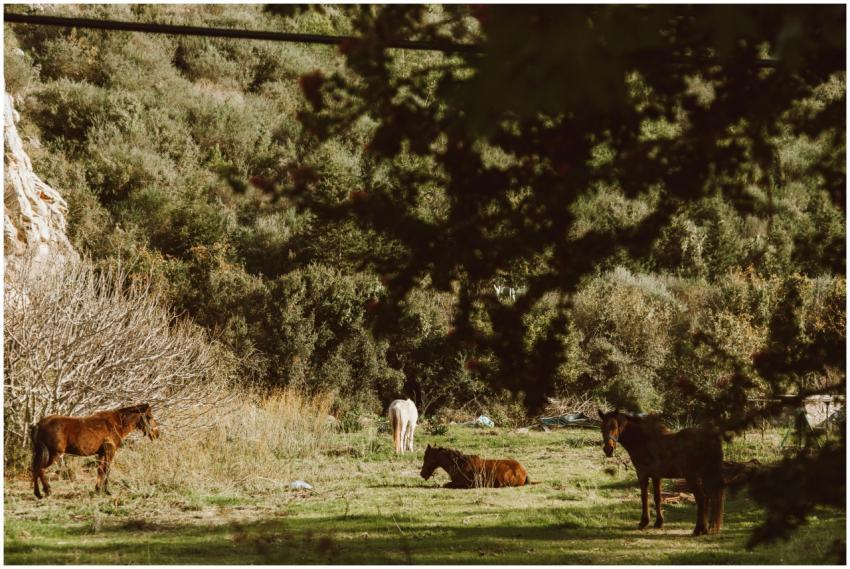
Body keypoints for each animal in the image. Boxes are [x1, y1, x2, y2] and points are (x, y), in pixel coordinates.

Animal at [31, 403, 160, 498]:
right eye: (149, 417)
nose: (156, 434)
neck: (117, 423)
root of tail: (39, 424)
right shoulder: (110, 452)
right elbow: (107, 470)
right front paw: (106, 490)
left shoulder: (101, 454)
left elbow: (100, 471)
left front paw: (98, 490)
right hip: (53, 454)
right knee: (40, 469)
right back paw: (47, 491)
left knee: (35, 469)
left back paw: (38, 493)